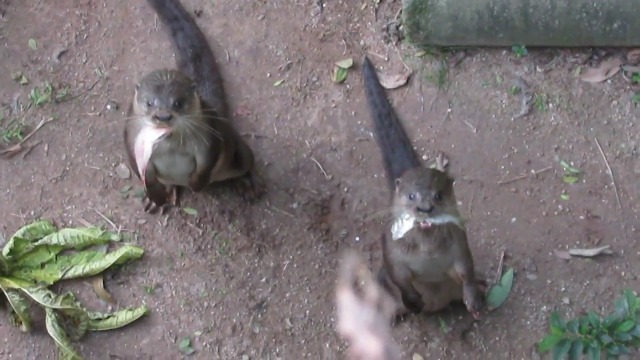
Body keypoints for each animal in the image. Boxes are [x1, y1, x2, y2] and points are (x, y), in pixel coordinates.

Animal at [124, 0, 264, 211]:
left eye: (178, 102)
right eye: (149, 102)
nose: (163, 116)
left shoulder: (209, 138)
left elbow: (207, 162)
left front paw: (196, 184)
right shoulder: (132, 139)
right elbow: (141, 171)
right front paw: (155, 197)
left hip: (237, 152)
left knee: (246, 160)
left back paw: (248, 184)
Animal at [362, 57, 482, 320]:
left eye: (438, 195)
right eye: (411, 196)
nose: (425, 208)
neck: (427, 252)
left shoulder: (460, 242)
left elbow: (466, 268)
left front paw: (473, 298)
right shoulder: (391, 251)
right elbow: (399, 277)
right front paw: (413, 301)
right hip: (384, 285)